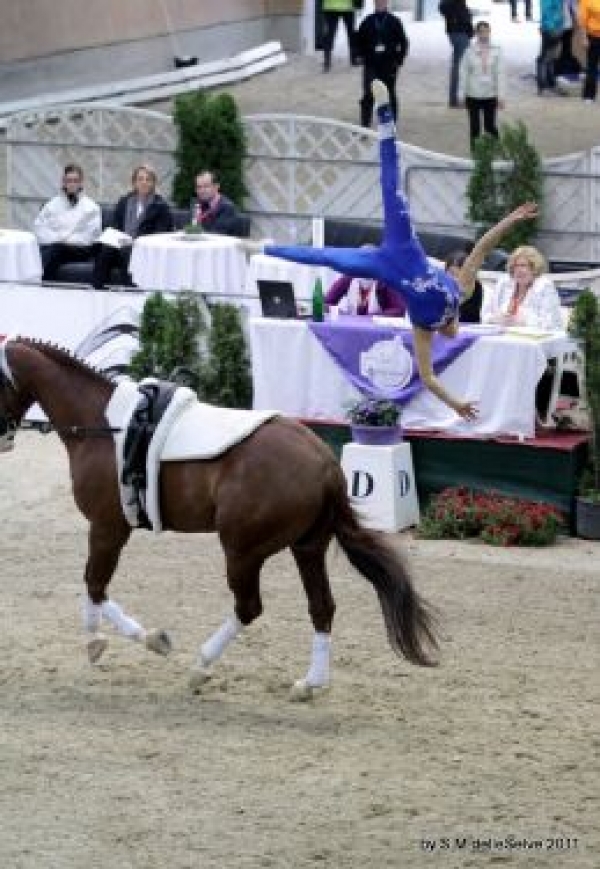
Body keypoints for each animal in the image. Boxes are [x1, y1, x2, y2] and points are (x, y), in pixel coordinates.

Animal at [1, 336, 440, 696]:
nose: (4, 438)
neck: (102, 424)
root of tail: (325, 462)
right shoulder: (112, 528)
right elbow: (97, 585)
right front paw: (145, 639)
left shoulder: (107, 526)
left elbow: (94, 583)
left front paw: (102, 641)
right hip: (307, 548)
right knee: (322, 606)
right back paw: (311, 683)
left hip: (242, 552)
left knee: (249, 607)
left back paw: (201, 667)